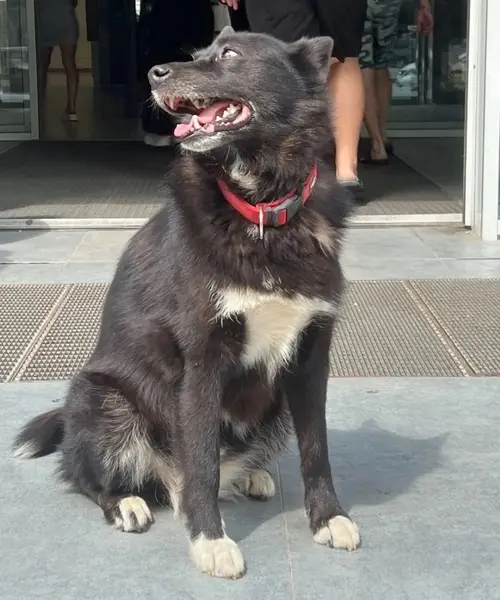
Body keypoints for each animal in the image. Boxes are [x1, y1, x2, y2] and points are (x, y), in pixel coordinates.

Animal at [14, 27, 359, 579]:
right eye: (197, 54)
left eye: (229, 55)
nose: (154, 73)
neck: (261, 211)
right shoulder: (202, 364)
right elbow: (200, 464)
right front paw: (210, 541)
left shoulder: (309, 359)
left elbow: (316, 448)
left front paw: (328, 517)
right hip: (106, 401)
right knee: (87, 476)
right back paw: (126, 502)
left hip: (274, 406)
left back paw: (251, 476)